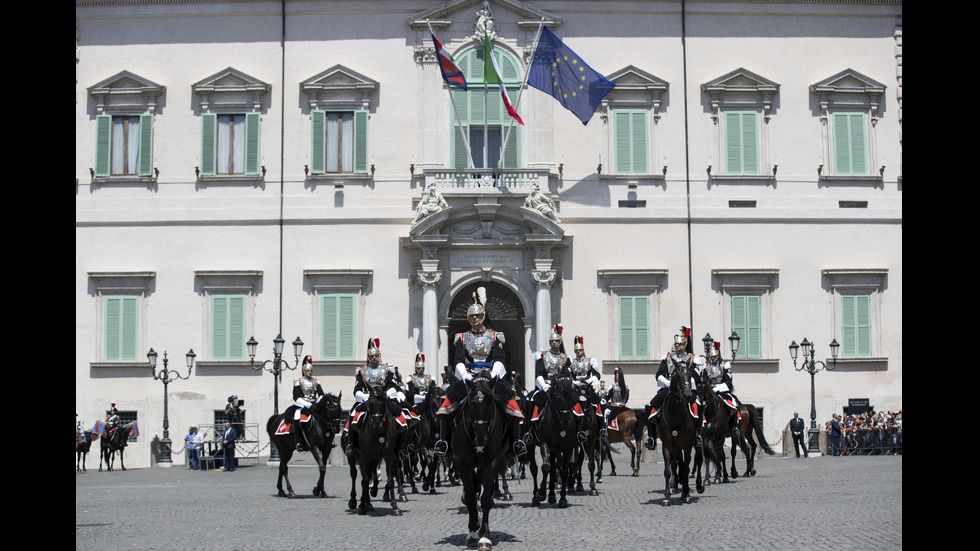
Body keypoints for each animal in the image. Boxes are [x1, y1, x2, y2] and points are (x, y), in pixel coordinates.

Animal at [346, 382, 404, 516]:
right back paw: (354, 501)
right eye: (370, 402)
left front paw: (395, 506)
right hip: (353, 456)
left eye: (384, 402)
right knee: (354, 474)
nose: (377, 425)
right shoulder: (364, 456)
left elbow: (390, 480)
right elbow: (365, 480)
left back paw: (368, 502)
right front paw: (361, 506)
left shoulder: (389, 456)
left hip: (375, 459)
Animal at [454, 376, 510, 548]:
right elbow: (471, 497)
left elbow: (485, 499)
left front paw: (484, 536)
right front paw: (472, 532)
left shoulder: (490, 462)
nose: (481, 439)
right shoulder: (463, 463)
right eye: (472, 403)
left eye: (491, 402)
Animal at [652, 364, 704, 506]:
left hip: (696, 442)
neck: (675, 416)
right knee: (680, 463)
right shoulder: (667, 445)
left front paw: (687, 495)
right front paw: (667, 496)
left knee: (698, 459)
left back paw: (698, 486)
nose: (687, 395)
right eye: (678, 375)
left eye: (690, 375)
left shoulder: (687, 446)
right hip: (676, 447)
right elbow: (668, 470)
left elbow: (686, 468)